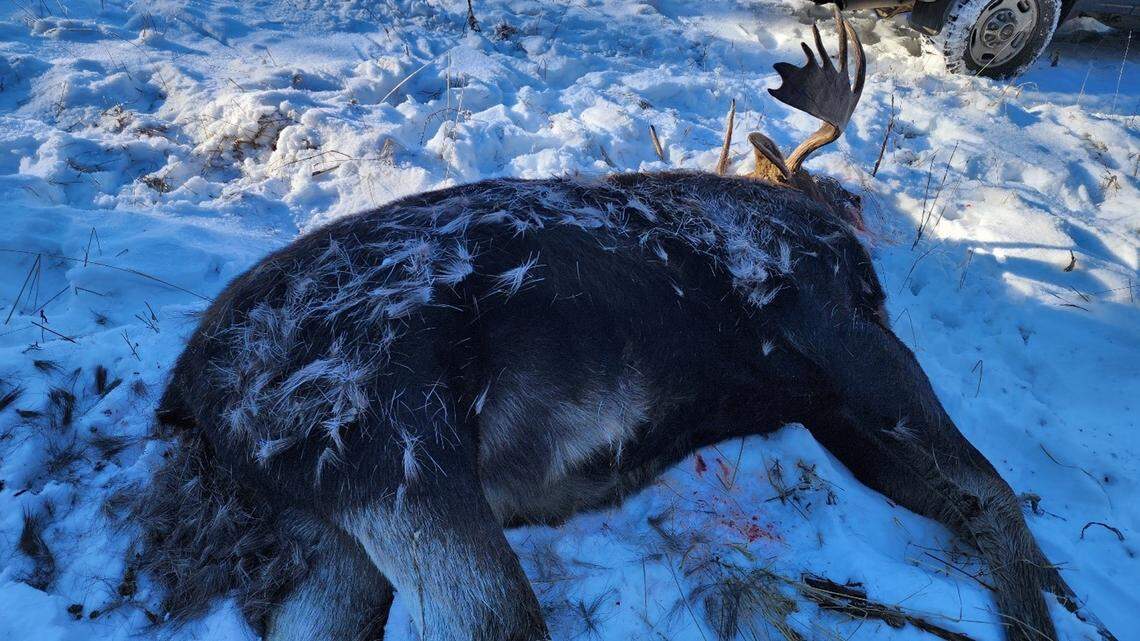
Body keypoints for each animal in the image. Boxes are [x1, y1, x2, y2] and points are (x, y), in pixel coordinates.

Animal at [133, 10, 1115, 641]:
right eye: (830, 193)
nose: (858, 213)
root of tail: (193, 396)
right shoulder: (842, 326)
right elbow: (993, 486)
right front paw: (1045, 611)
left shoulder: (823, 400)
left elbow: (963, 496)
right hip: (398, 439)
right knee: (493, 619)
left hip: (330, 525)